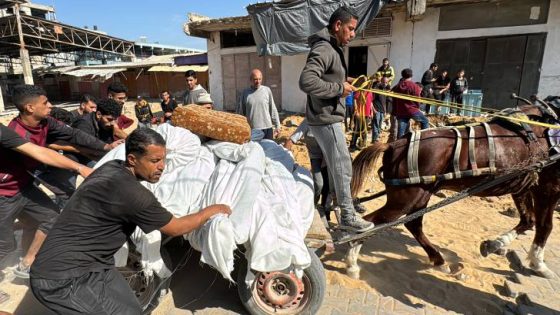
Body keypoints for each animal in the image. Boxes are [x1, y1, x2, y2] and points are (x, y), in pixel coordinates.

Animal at [348, 105, 556, 280]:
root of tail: (394, 145)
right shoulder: (548, 188)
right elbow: (545, 226)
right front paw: (539, 263)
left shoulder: (524, 184)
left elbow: (528, 220)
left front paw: (494, 244)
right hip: (405, 199)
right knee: (372, 221)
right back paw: (352, 263)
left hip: (420, 196)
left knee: (413, 224)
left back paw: (439, 260)